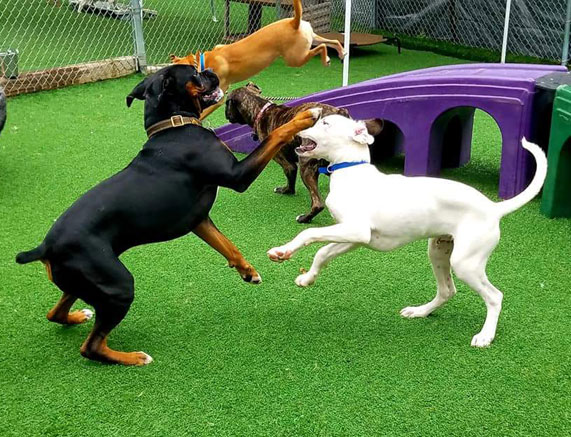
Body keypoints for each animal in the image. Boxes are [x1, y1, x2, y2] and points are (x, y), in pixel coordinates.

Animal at [16, 64, 322, 364]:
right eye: (194, 74)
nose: (211, 70)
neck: (175, 126)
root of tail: (45, 247)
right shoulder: (238, 176)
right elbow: (275, 135)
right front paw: (306, 116)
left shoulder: (199, 220)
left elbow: (228, 247)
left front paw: (247, 272)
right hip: (118, 286)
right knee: (91, 347)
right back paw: (134, 358)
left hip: (87, 283)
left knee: (55, 314)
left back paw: (79, 316)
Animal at [170, 0, 344, 118]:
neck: (203, 61)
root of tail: (293, 22)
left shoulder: (220, 95)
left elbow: (204, 111)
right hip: (311, 39)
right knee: (332, 41)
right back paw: (340, 52)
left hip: (295, 58)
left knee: (322, 47)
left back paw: (327, 59)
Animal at [225, 84, 384, 223]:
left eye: (227, 104)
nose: (226, 114)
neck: (261, 110)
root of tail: (340, 112)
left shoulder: (286, 163)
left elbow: (290, 176)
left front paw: (287, 190)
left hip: (306, 166)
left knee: (318, 203)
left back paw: (304, 219)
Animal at [266, 114, 548, 346]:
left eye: (324, 123)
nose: (295, 130)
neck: (351, 171)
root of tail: (493, 208)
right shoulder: (355, 237)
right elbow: (323, 253)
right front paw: (307, 278)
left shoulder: (355, 230)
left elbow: (308, 235)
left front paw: (282, 251)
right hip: (438, 251)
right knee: (447, 290)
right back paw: (420, 311)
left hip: (465, 263)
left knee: (494, 296)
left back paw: (485, 335)